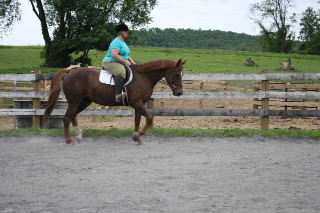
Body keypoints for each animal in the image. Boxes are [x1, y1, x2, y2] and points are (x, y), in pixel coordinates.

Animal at [44, 59, 185, 144]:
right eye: (177, 74)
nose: (179, 93)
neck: (143, 77)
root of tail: (69, 71)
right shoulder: (137, 103)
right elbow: (149, 118)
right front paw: (138, 136)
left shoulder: (139, 104)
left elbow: (137, 121)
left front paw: (137, 137)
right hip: (74, 101)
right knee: (67, 118)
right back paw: (69, 140)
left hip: (84, 101)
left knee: (73, 117)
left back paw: (78, 136)